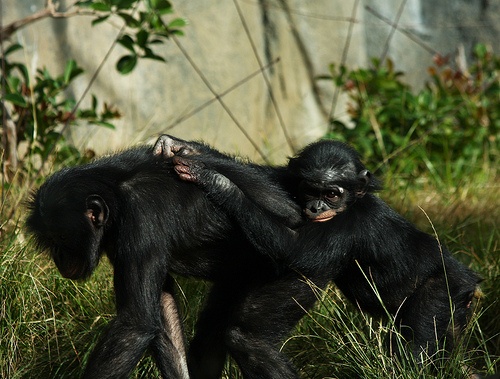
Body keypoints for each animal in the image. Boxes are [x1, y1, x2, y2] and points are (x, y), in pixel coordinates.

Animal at [26, 140, 316, 379]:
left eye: (63, 238)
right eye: (51, 241)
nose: (59, 255)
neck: (116, 191)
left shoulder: (141, 216)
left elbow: (135, 323)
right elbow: (162, 306)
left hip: (301, 274)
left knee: (248, 341)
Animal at [170, 139, 482, 362]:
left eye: (331, 194)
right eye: (311, 190)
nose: (317, 207)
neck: (352, 202)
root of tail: (469, 279)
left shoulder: (348, 224)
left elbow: (295, 250)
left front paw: (214, 180)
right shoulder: (288, 182)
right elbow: (266, 181)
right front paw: (185, 147)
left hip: (441, 291)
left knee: (417, 349)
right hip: (455, 312)